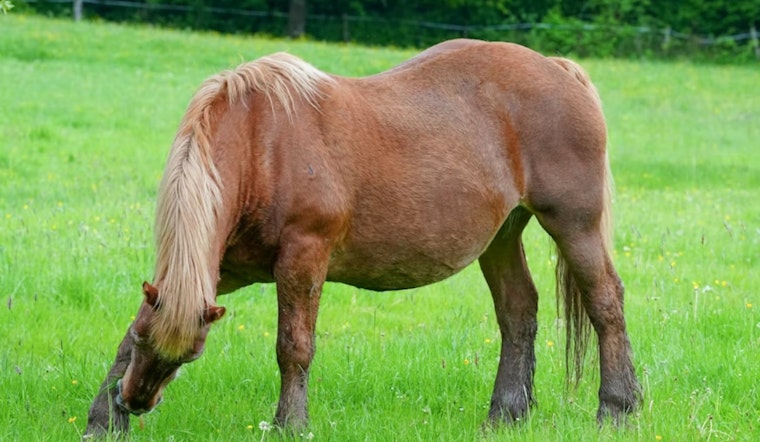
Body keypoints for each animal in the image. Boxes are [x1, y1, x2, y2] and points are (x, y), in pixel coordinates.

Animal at [84, 38, 640, 437]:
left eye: (192, 357)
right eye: (148, 343)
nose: (135, 401)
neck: (262, 143)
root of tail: (558, 68)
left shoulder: (304, 260)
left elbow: (294, 347)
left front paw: (290, 424)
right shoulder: (218, 272)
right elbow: (126, 332)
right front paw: (101, 421)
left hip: (573, 224)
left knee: (605, 302)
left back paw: (616, 408)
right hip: (503, 236)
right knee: (519, 312)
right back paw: (505, 414)